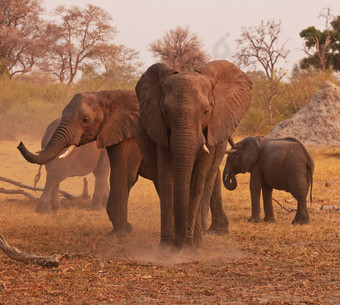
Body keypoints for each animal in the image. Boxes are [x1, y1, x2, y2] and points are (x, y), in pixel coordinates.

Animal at [17, 89, 230, 234]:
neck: (107, 96)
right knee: (55, 176)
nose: (19, 143)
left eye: (85, 119)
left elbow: (115, 174)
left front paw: (107, 216)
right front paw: (121, 226)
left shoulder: (130, 136)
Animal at [135, 60, 252, 249]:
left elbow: (197, 181)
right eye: (165, 111)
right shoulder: (161, 130)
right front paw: (166, 248)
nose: (178, 245)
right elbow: (167, 181)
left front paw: (190, 247)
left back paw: (199, 238)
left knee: (207, 182)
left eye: (206, 111)